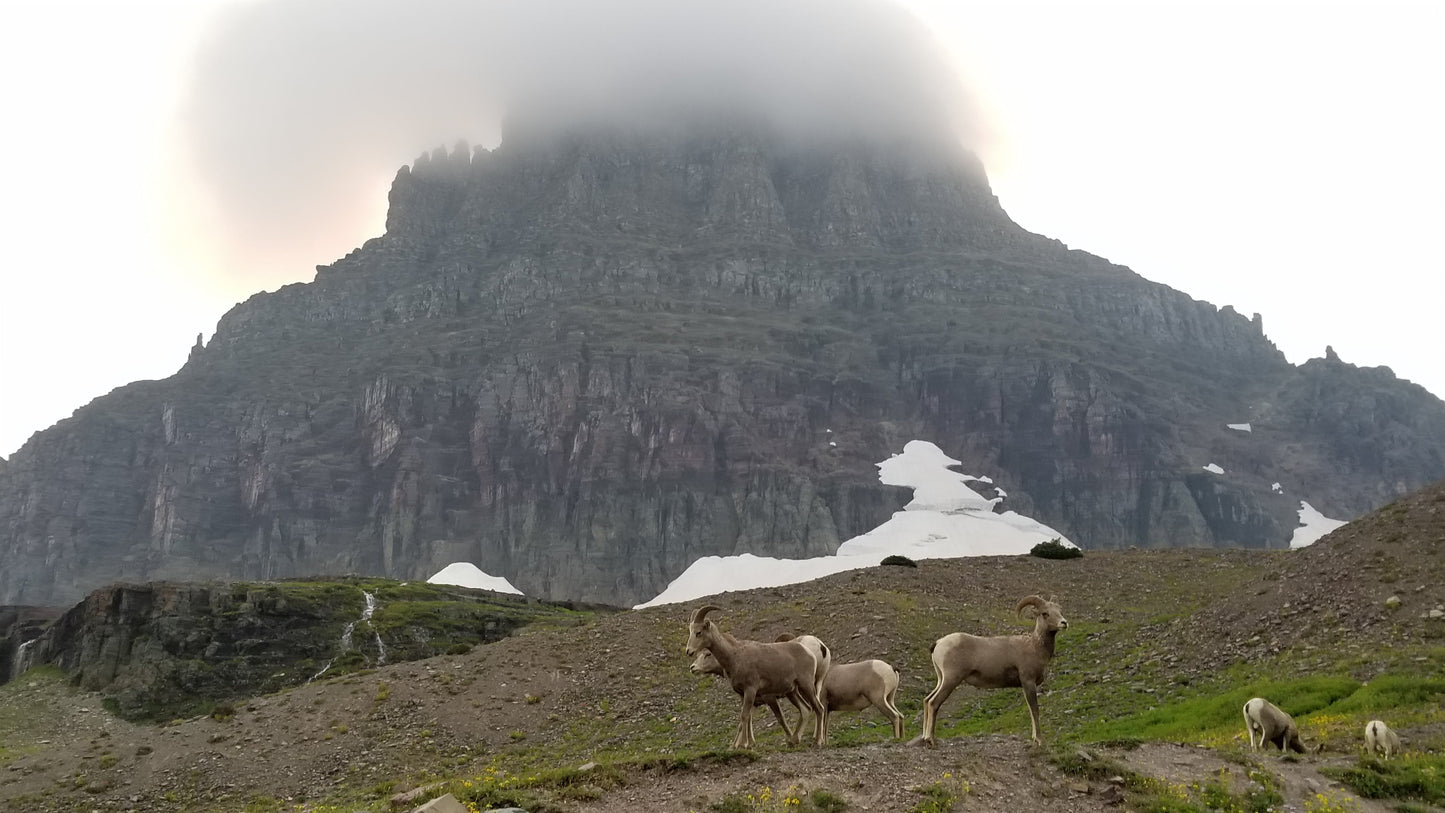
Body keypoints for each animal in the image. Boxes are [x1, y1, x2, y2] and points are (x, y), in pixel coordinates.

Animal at [684, 603, 826, 750]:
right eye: (690, 632)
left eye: (698, 632)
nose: (689, 651)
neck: (735, 657)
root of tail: (810, 652)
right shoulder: (742, 694)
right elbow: (745, 718)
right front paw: (740, 745)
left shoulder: (751, 690)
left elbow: (745, 716)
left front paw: (743, 745)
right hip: (792, 691)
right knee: (806, 709)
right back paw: (794, 741)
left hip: (806, 685)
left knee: (819, 708)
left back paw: (818, 741)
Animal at [919, 594, 1069, 745]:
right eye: (1045, 613)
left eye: (1060, 610)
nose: (1064, 623)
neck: (1035, 647)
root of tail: (939, 643)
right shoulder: (1028, 682)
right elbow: (1034, 710)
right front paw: (1039, 739)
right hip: (951, 680)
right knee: (933, 703)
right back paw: (931, 739)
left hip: (941, 679)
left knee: (927, 700)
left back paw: (925, 737)